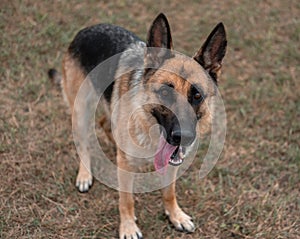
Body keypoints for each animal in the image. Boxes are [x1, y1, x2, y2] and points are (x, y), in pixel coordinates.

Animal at [55, 13, 226, 239]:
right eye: (165, 92)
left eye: (197, 95)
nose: (184, 136)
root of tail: (86, 30)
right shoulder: (127, 169)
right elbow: (126, 200)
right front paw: (128, 227)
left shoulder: (171, 163)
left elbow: (169, 192)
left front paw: (175, 215)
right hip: (81, 111)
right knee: (83, 143)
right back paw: (84, 175)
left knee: (104, 123)